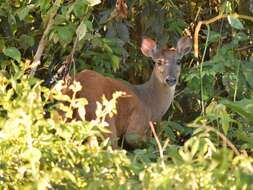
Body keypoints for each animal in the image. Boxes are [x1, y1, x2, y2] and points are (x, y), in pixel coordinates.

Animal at [62, 36, 192, 148]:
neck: (150, 104)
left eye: (179, 61)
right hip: (105, 120)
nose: (171, 79)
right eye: (159, 62)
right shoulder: (137, 125)